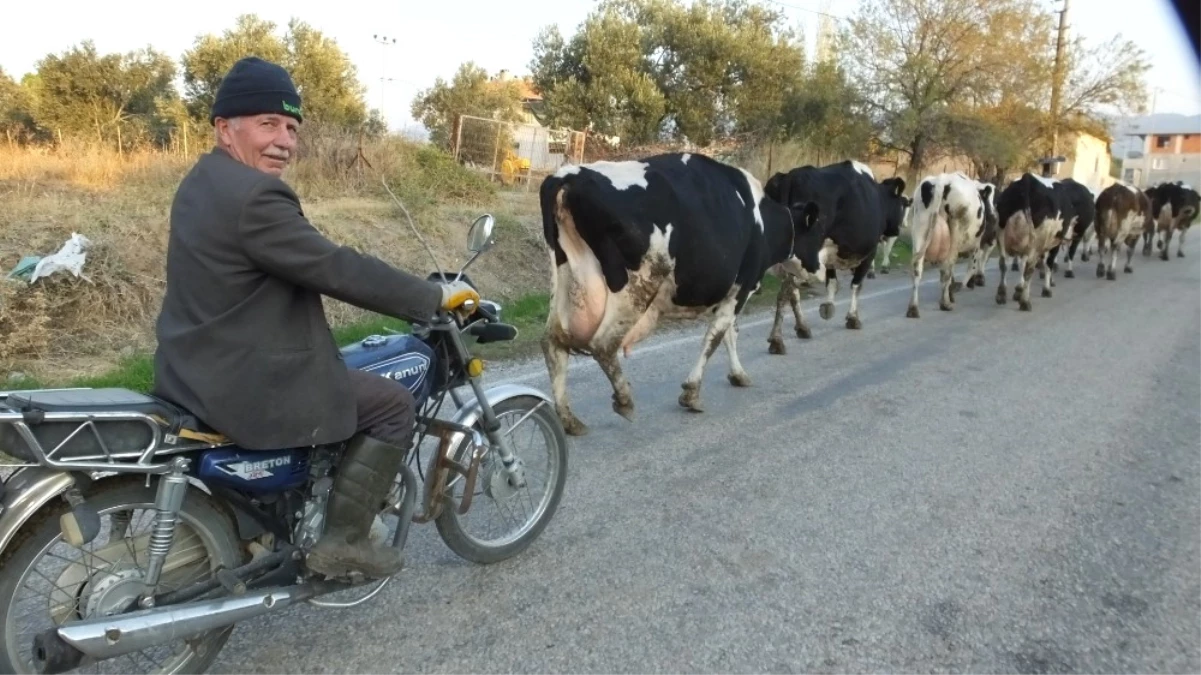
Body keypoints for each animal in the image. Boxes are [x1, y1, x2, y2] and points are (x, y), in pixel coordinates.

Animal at [759, 158, 907, 353]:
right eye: (902, 205)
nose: (897, 229)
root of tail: (791, 176)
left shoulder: (828, 256)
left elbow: (832, 282)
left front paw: (828, 307)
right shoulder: (869, 251)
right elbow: (856, 285)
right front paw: (852, 318)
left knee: (791, 292)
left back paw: (801, 328)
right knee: (786, 292)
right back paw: (777, 339)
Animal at [989, 172, 1066, 309]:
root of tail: (1027, 179)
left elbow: (1022, 263)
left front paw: (1018, 289)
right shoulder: (1054, 243)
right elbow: (1048, 265)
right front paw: (1046, 289)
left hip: (1001, 232)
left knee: (1003, 263)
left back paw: (1002, 294)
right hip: (1036, 242)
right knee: (1029, 269)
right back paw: (1025, 301)